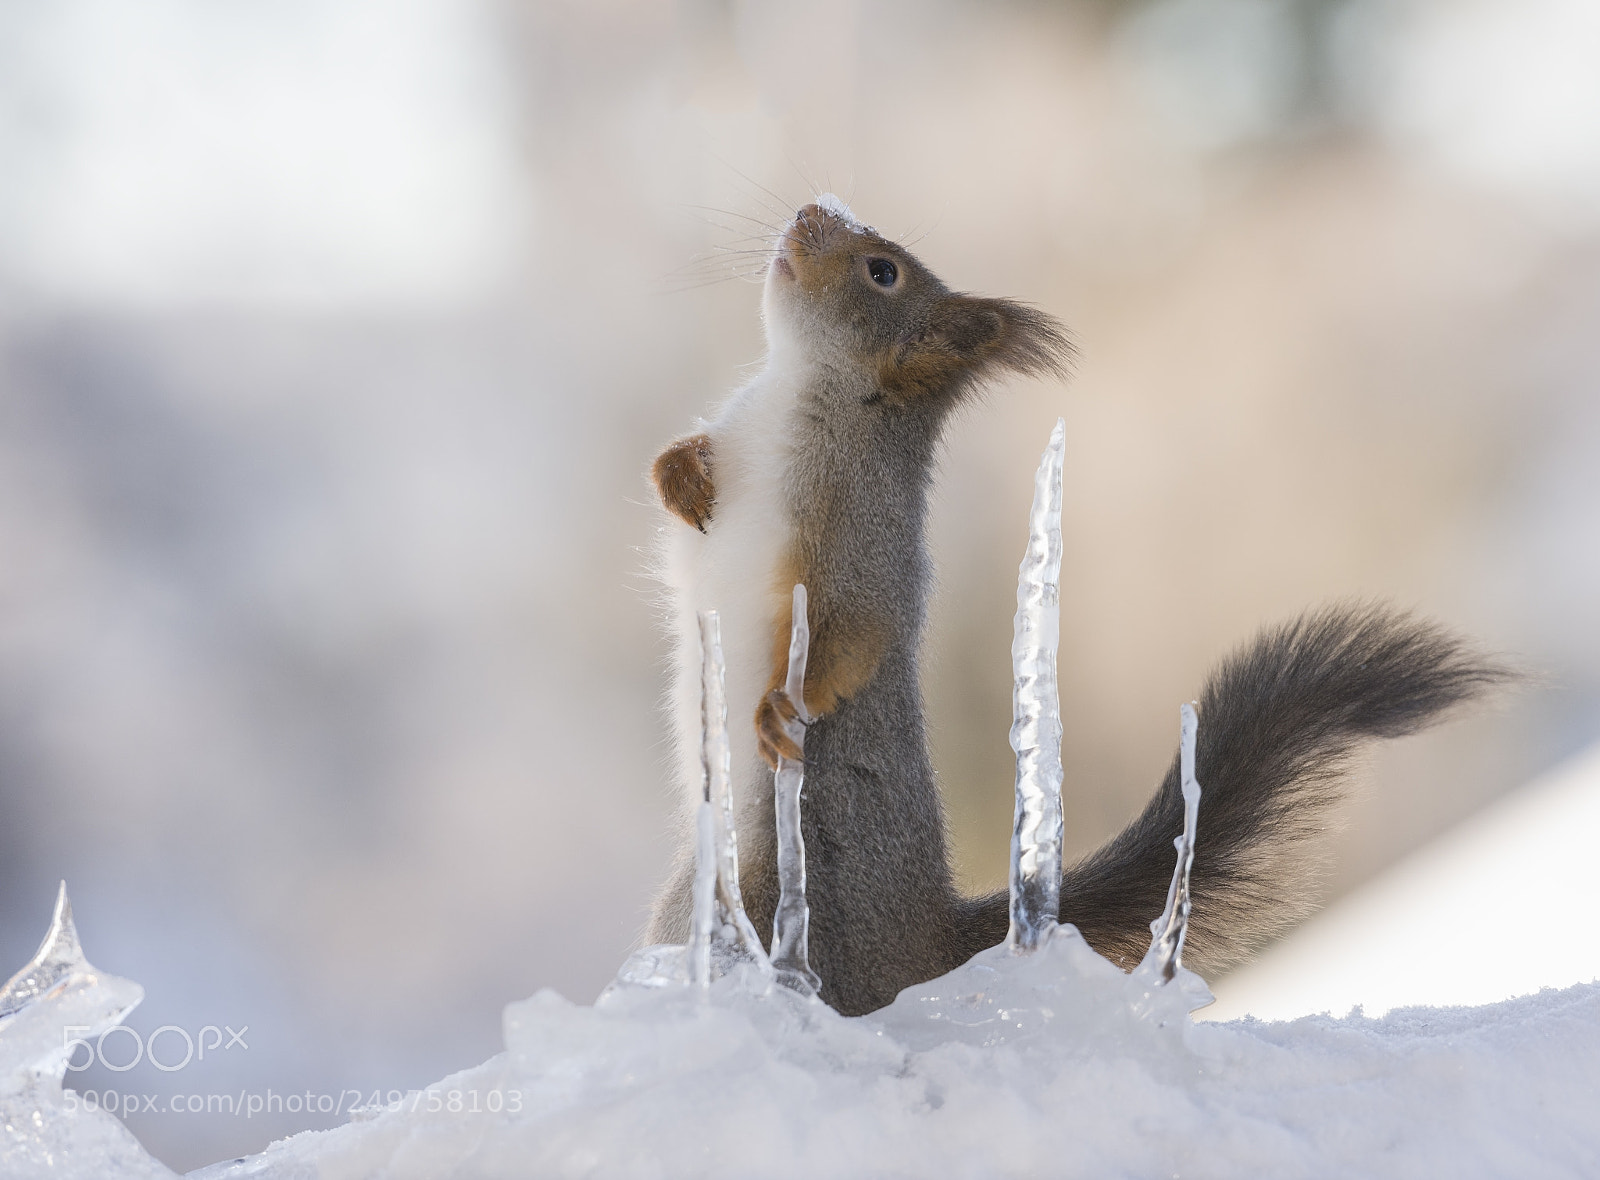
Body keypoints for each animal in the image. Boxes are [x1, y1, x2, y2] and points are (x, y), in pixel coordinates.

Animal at [645, 196, 1504, 1017]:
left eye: (882, 272)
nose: (810, 209)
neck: (796, 390)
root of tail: (927, 948)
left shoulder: (863, 535)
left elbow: (857, 631)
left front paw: (778, 710)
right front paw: (681, 472)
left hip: (767, 899)